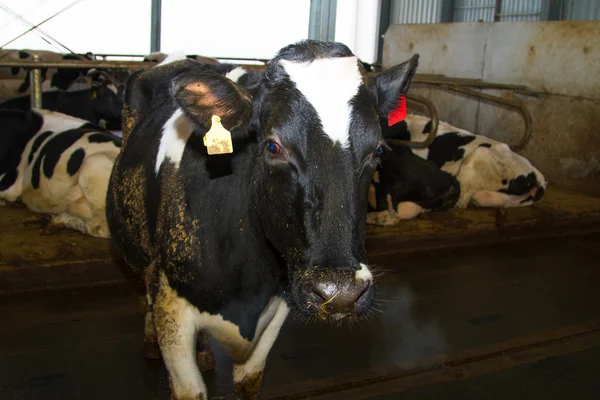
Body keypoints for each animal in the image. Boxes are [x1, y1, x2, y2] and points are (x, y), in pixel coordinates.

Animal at [105, 41, 420, 400]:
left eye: (378, 151)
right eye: (272, 146)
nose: (339, 293)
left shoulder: (277, 306)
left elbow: (249, 381)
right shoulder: (171, 307)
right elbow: (189, 388)